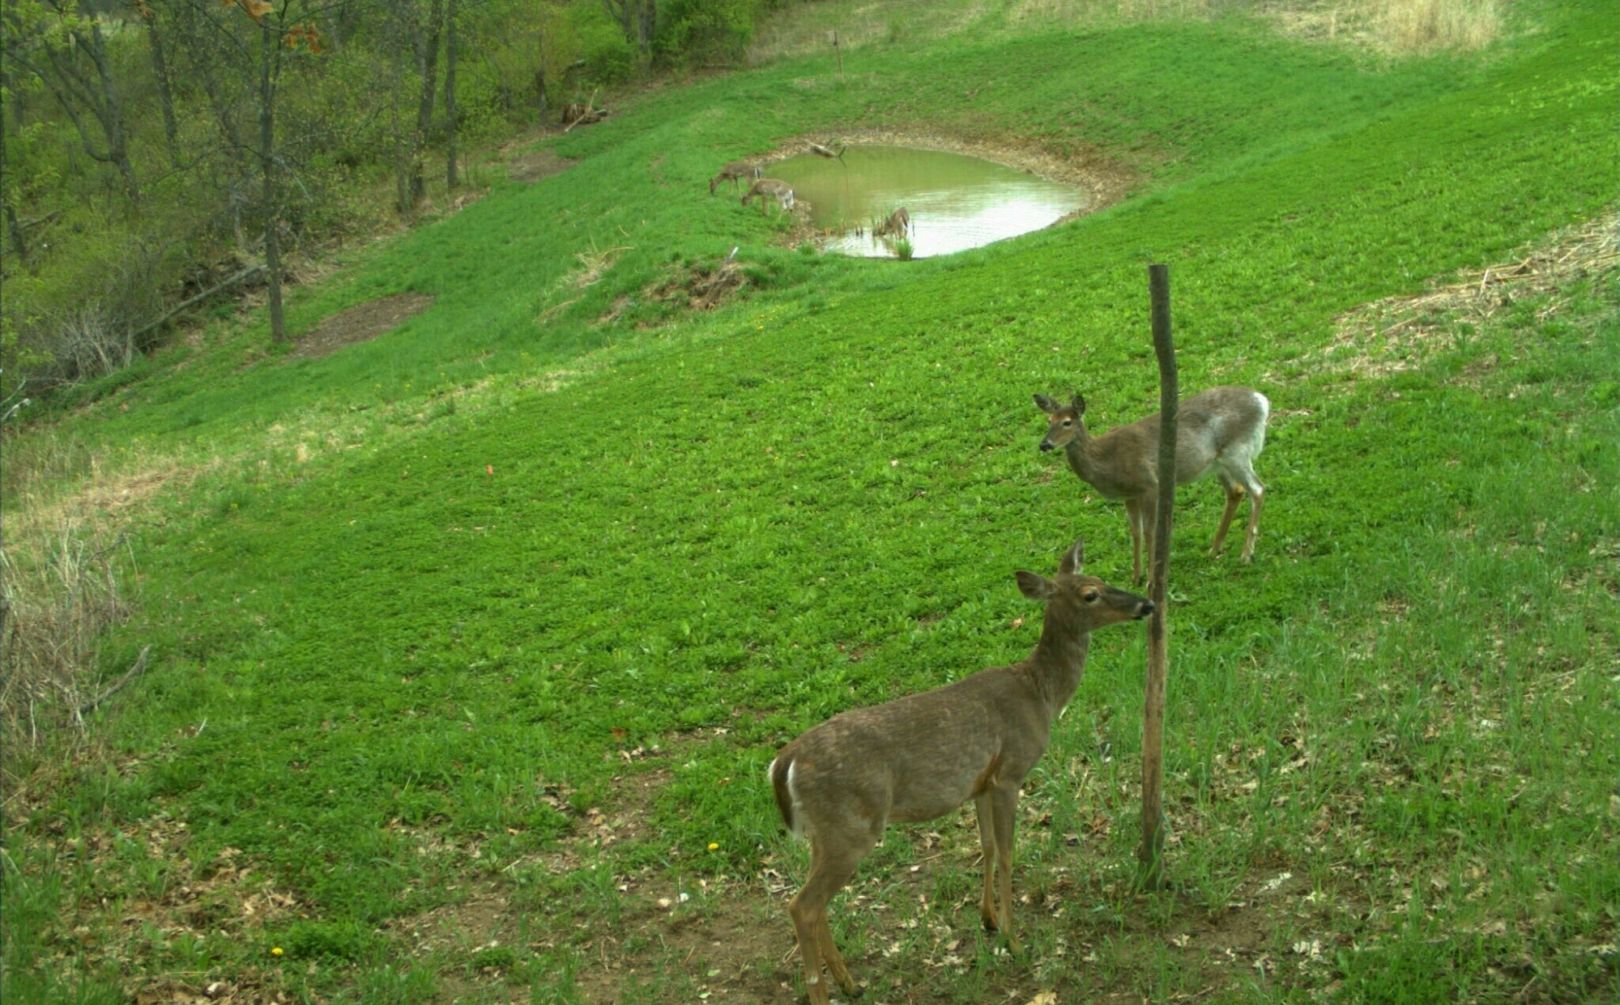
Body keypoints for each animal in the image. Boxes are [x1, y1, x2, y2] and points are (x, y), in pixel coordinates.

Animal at [767, 541, 1153, 1005]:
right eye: (1089, 594)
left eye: (1099, 578)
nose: (1147, 604)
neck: (1040, 694)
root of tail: (784, 762)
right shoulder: (1010, 772)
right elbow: (1007, 853)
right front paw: (1014, 939)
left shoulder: (981, 783)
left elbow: (985, 847)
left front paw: (988, 919)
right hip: (851, 827)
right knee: (802, 905)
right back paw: (827, 988)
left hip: (824, 832)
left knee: (814, 901)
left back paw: (849, 981)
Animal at [1036, 387, 1263, 590]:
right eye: (1049, 420)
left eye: (1067, 422)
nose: (1044, 444)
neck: (1107, 460)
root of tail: (1261, 401)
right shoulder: (1129, 494)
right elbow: (1136, 531)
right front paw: (1136, 577)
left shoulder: (1150, 484)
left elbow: (1150, 531)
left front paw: (1152, 580)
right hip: (1218, 462)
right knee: (1236, 490)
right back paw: (1214, 549)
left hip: (1237, 451)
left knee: (1257, 489)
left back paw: (1246, 554)